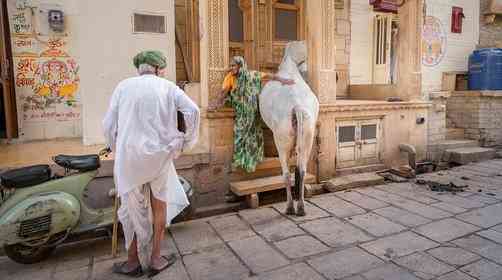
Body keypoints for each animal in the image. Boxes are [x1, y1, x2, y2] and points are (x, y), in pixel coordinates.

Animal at [258, 41, 318, 217]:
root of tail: (296, 106)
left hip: (282, 138)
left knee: (285, 173)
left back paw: (290, 207)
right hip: (308, 134)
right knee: (302, 169)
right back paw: (301, 207)